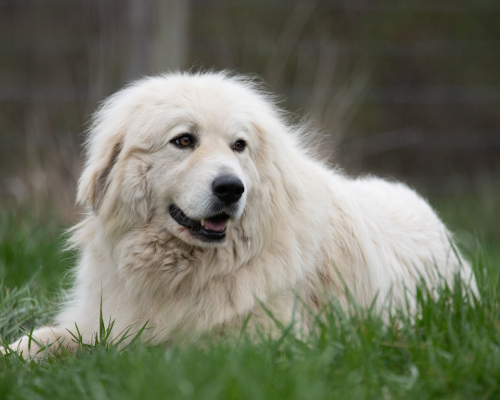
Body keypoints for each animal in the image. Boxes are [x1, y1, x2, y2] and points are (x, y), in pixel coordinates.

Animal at [8, 72, 477, 357]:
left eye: (239, 146)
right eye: (184, 141)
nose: (231, 188)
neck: (185, 274)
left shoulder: (260, 342)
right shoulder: (99, 320)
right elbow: (39, 340)